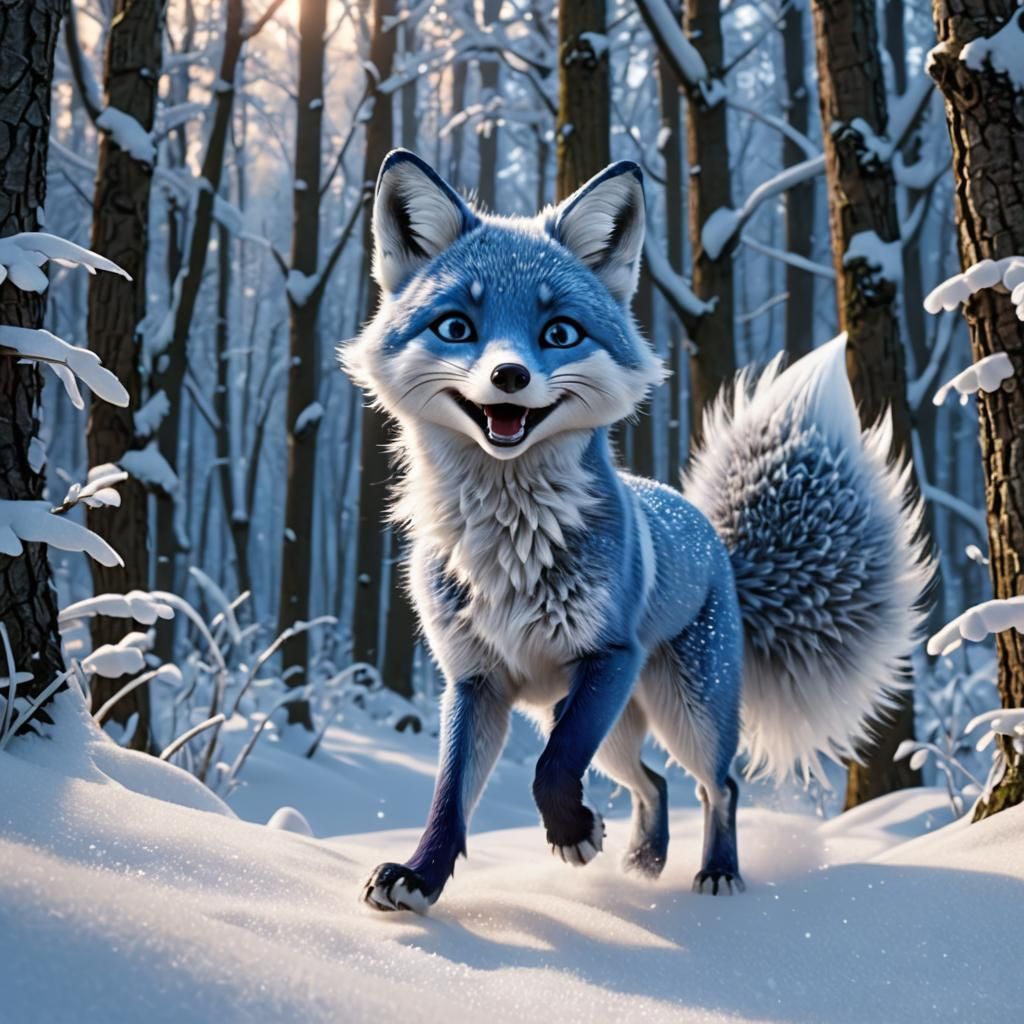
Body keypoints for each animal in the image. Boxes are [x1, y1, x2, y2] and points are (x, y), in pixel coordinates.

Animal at [342, 149, 930, 913]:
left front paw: (569, 833)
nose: (509, 375)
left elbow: (551, 769)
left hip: (684, 714)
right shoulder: (474, 681)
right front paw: (420, 877)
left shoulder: (607, 657)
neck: (509, 549)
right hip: (610, 727)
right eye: (456, 328)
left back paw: (717, 871)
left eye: (559, 333)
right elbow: (449, 797)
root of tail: (712, 536)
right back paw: (644, 860)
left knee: (718, 784)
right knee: (652, 782)